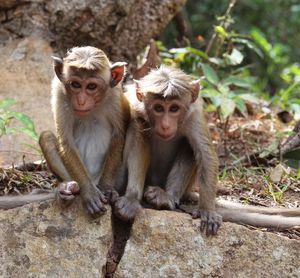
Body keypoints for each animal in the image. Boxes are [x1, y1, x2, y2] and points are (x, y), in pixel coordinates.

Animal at [0, 46, 130, 214]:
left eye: (91, 86)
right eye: (75, 84)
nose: (81, 101)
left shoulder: (115, 96)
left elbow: (119, 136)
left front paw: (107, 188)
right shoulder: (59, 93)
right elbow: (66, 141)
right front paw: (88, 192)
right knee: (47, 137)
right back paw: (67, 189)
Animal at [112, 65, 300, 235]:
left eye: (174, 108)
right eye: (158, 108)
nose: (165, 125)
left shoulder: (193, 115)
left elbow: (206, 155)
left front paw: (207, 211)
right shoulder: (134, 107)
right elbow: (137, 131)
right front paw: (131, 199)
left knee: (188, 145)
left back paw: (167, 198)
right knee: (137, 128)